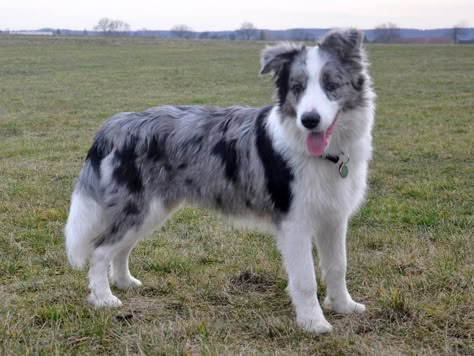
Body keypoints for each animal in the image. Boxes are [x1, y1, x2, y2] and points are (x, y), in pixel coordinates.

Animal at [65, 28, 374, 334]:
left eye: (331, 84)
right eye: (297, 88)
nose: (309, 120)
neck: (327, 155)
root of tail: (115, 125)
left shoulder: (334, 218)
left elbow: (338, 267)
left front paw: (344, 306)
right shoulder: (295, 223)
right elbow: (306, 279)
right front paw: (314, 323)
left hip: (149, 211)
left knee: (121, 248)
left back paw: (124, 282)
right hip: (136, 208)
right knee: (100, 249)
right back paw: (103, 298)